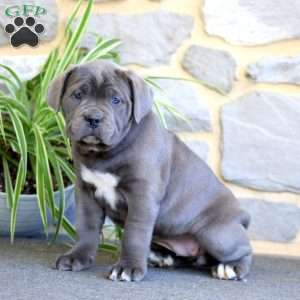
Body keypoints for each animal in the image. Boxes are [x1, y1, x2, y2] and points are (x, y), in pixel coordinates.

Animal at [47, 60, 252, 282]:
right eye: (77, 95)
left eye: (116, 100)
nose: (93, 117)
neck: (103, 154)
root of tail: (242, 216)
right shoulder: (86, 193)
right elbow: (87, 227)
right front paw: (77, 257)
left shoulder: (142, 196)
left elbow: (134, 233)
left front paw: (127, 267)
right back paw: (160, 256)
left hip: (216, 234)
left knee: (244, 250)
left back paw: (230, 268)